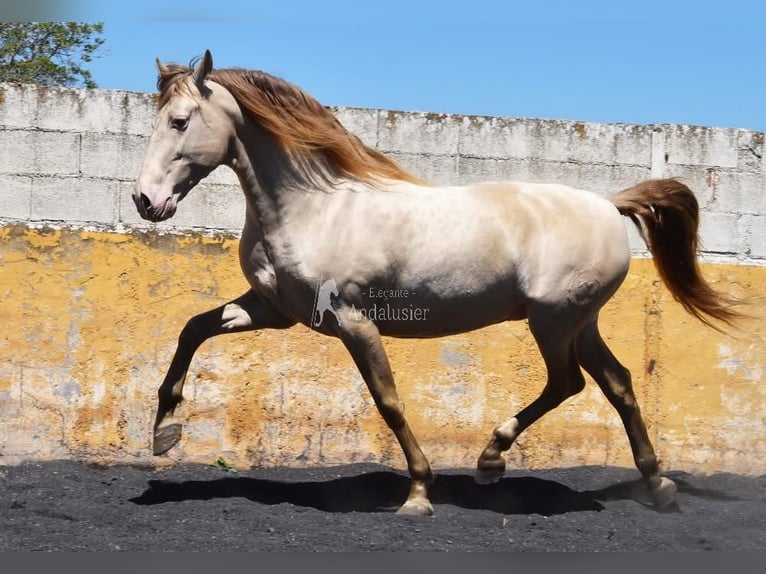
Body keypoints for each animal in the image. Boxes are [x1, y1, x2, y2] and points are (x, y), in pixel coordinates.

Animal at [133, 50, 742, 515]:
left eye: (180, 121)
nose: (145, 201)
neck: (313, 207)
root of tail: (609, 205)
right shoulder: (272, 309)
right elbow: (193, 329)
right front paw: (164, 431)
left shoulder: (354, 321)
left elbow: (389, 401)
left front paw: (419, 496)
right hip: (578, 322)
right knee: (618, 384)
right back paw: (657, 487)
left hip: (554, 320)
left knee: (568, 383)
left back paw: (491, 461)